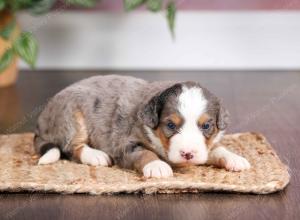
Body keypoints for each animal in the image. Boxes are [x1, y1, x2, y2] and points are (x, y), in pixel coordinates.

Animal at [34, 75, 251, 178]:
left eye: (206, 125)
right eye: (170, 125)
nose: (188, 154)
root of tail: (41, 121)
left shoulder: (206, 146)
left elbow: (216, 148)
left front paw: (235, 158)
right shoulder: (125, 143)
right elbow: (144, 152)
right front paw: (157, 166)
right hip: (72, 116)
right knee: (71, 146)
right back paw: (96, 156)